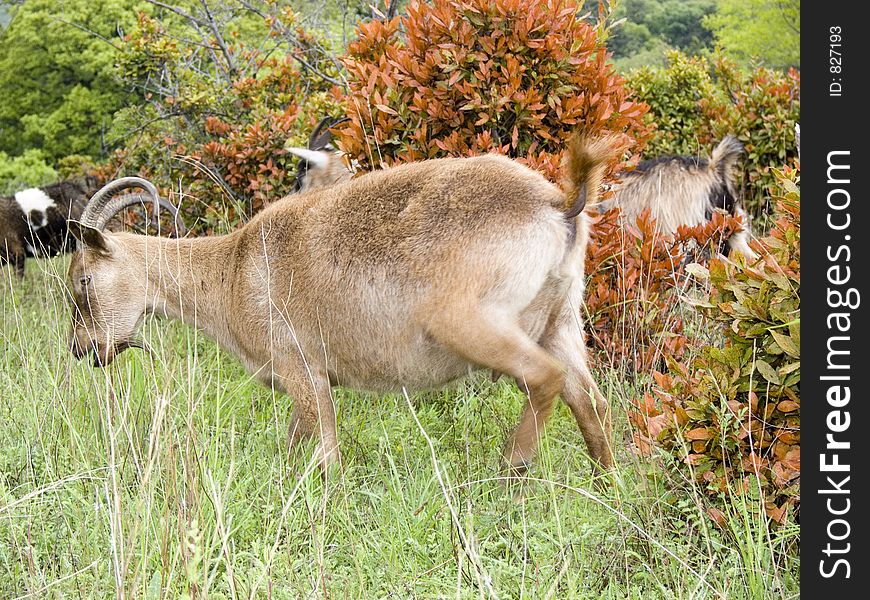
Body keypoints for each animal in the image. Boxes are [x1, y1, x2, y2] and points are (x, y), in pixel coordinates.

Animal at [68, 138, 620, 476]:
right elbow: (297, 445)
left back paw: (511, 473)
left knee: (544, 377)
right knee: (589, 400)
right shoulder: (308, 384)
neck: (233, 270)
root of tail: (557, 204)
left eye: (82, 281)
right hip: (561, 321)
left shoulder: (303, 370)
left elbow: (327, 455)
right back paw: (606, 482)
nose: (82, 349)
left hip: (470, 323)